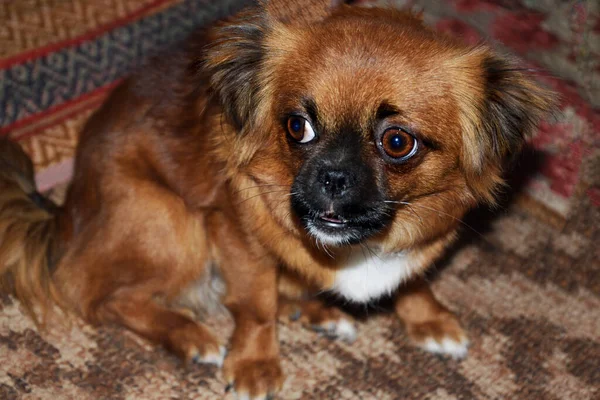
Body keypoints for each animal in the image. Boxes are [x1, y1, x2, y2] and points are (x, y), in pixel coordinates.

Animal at [0, 1, 552, 398]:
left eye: (398, 142)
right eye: (297, 126)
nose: (331, 176)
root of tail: (64, 215)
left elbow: (412, 276)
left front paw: (428, 318)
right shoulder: (234, 234)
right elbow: (254, 303)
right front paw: (255, 363)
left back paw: (320, 313)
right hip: (172, 221)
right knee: (101, 297)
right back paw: (189, 335)